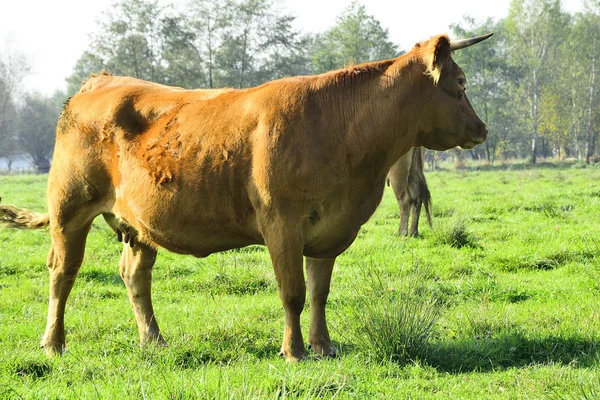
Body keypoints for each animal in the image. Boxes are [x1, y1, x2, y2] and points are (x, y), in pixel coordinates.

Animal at [0, 32, 492, 360]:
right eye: (461, 83)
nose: (483, 128)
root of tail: (101, 81)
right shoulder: (281, 224)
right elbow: (293, 292)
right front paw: (294, 351)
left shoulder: (331, 228)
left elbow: (319, 292)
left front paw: (324, 346)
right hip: (70, 210)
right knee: (62, 273)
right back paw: (53, 343)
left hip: (139, 225)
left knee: (134, 276)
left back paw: (154, 340)